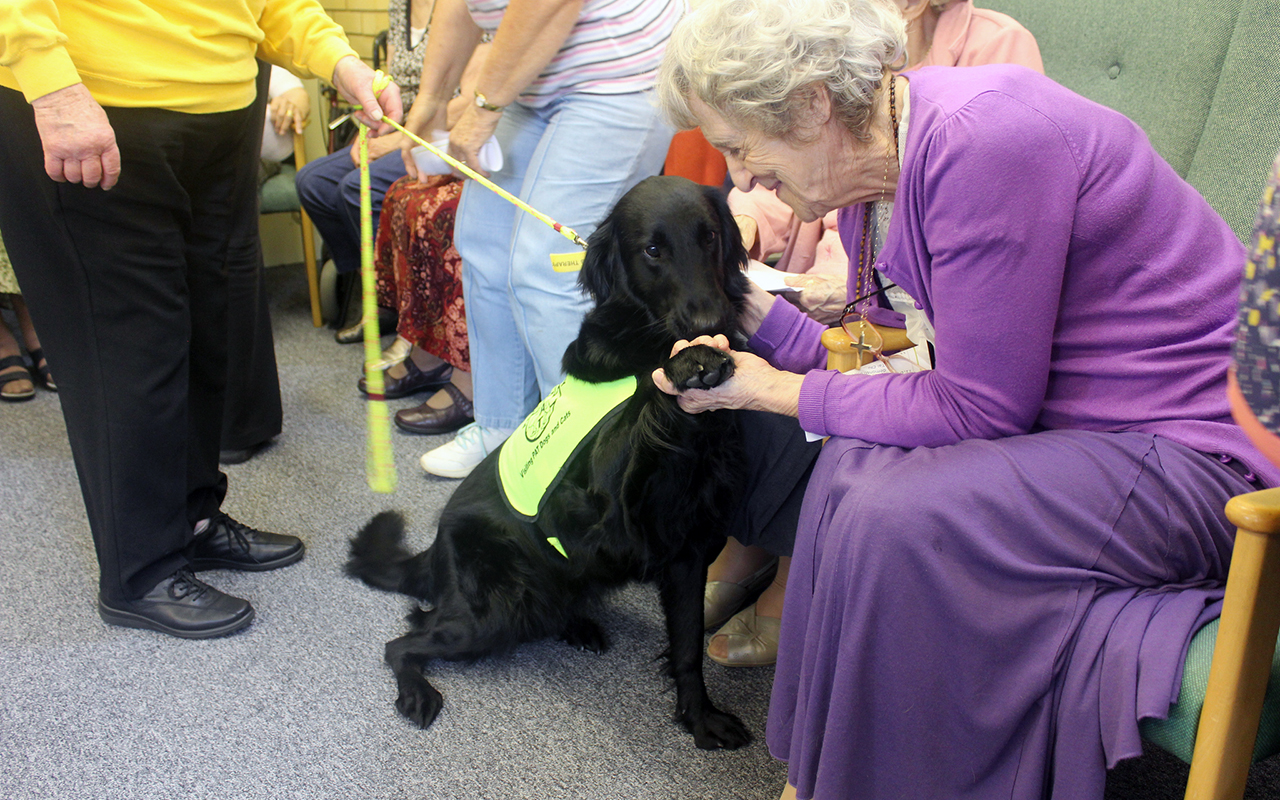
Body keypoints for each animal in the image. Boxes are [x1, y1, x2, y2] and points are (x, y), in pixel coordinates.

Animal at [345, 174, 752, 747]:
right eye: (653, 250)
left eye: (710, 236)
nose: (710, 322)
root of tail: (434, 551)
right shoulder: (609, 508)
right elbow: (643, 413)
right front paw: (688, 362)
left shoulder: (689, 548)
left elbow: (689, 646)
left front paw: (699, 718)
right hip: (498, 607)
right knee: (402, 641)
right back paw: (417, 693)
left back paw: (577, 625)